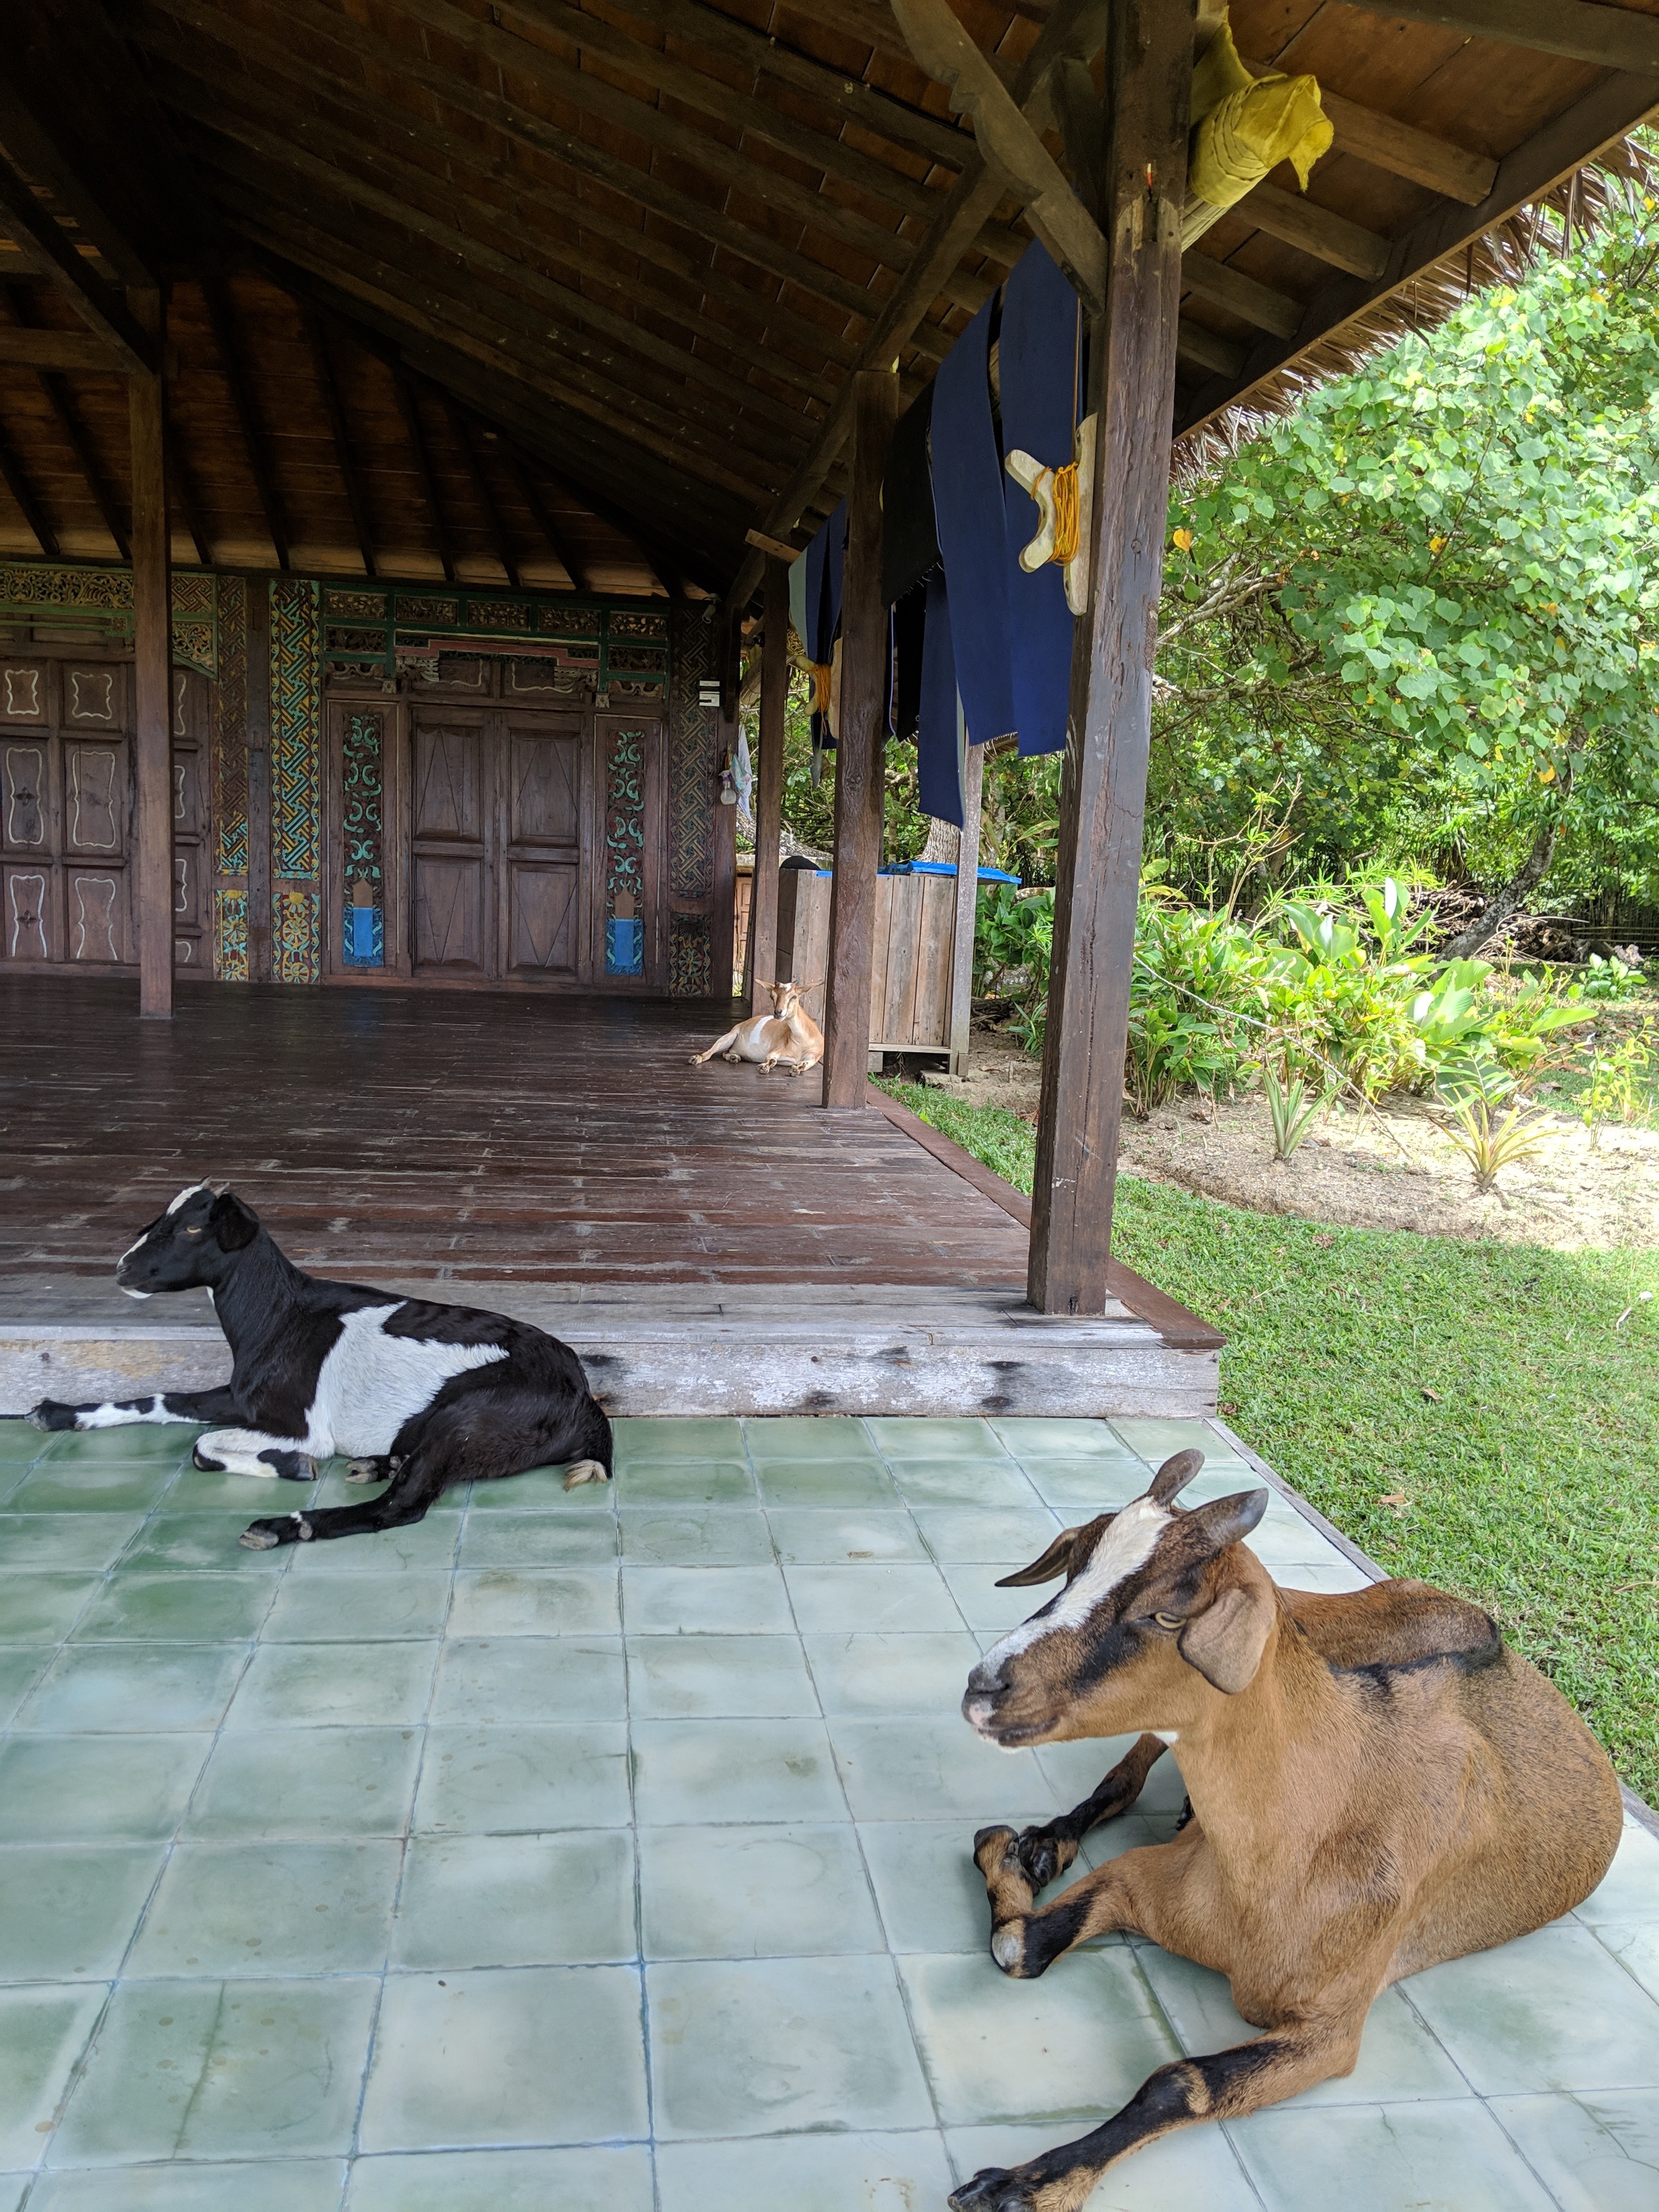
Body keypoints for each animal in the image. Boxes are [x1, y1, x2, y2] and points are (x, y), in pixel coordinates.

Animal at [27, 1182, 612, 1553]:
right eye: (158, 1222)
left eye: (193, 1229)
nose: (123, 1269)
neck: (280, 1316)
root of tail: (583, 1398)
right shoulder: (240, 1396)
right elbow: (162, 1400)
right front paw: (57, 1412)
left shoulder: (301, 1425)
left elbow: (204, 1447)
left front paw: (291, 1466)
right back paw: (379, 1463)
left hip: (467, 1418)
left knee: (400, 1507)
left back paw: (283, 1526)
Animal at [689, 978, 824, 1076]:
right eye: (772, 996)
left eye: (794, 996)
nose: (778, 1012)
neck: (802, 1042)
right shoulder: (776, 1050)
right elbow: (772, 1059)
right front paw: (763, 1067)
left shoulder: (814, 1056)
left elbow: (804, 1064)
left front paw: (795, 1070)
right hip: (730, 1036)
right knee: (711, 1052)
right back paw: (696, 1059)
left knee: (726, 1053)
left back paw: (734, 1057)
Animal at [949, 1448, 1622, 2212]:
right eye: (1073, 1571)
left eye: (1167, 1613)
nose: (985, 1688)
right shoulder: (1139, 1878)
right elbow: (1016, 1945)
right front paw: (1010, 1850)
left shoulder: (1331, 2032)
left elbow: (1179, 2079)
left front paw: (1024, 2186)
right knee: (1128, 1772)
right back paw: (1052, 1842)